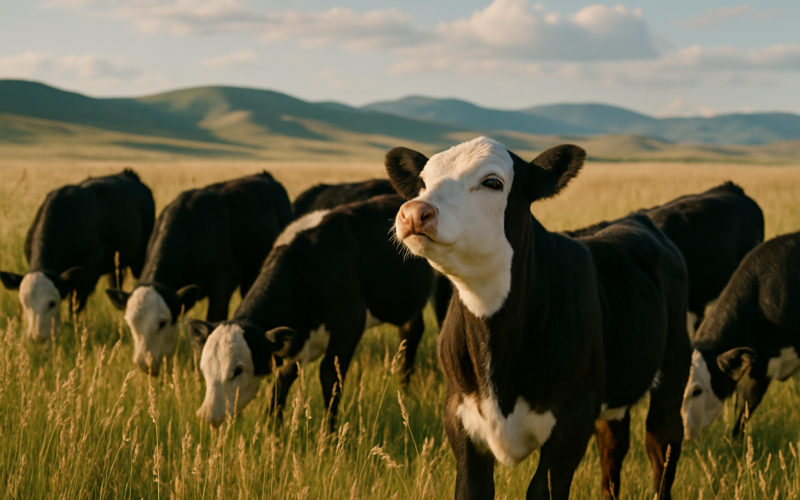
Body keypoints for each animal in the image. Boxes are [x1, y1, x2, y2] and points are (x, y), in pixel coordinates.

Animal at [0, 170, 154, 343]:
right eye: (25, 303)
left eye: (52, 303)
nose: (38, 337)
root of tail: (130, 174)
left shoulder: (88, 274)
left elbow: (75, 308)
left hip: (139, 260)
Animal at [187, 194, 434, 429]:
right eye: (204, 368)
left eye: (237, 370)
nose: (207, 415)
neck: (308, 266)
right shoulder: (298, 340)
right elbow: (284, 377)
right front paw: (273, 429)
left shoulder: (349, 327)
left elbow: (330, 377)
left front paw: (330, 435)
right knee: (411, 333)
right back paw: (405, 386)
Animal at [386, 137, 691, 500]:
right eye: (423, 182)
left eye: (493, 182)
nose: (413, 213)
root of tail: (638, 220)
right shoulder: (459, 417)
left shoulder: (571, 423)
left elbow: (542, 489)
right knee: (613, 446)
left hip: (675, 365)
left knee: (662, 444)